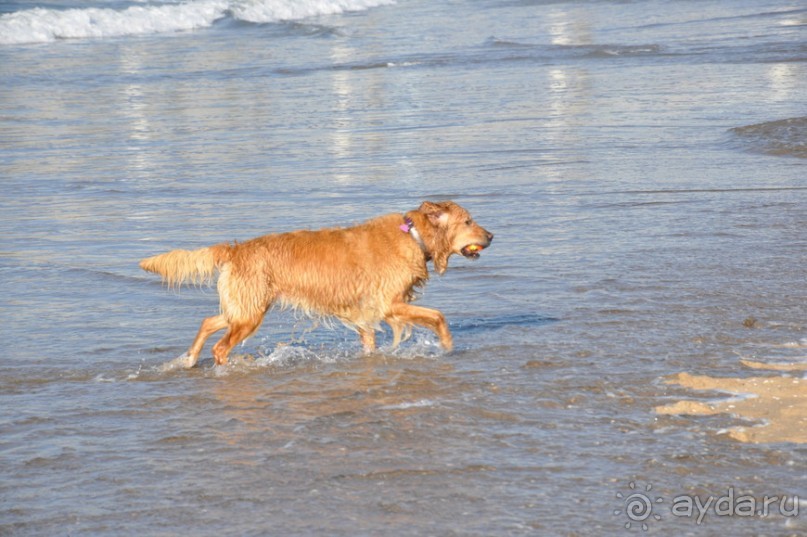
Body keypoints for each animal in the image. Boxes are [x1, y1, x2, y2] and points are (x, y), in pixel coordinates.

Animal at [139, 201, 492, 368]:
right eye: (468, 221)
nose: (491, 235)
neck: (414, 236)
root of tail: (236, 248)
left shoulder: (366, 315)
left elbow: (369, 343)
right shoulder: (390, 304)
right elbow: (438, 316)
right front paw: (447, 346)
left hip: (244, 306)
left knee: (208, 322)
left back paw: (189, 359)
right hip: (250, 313)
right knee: (220, 346)